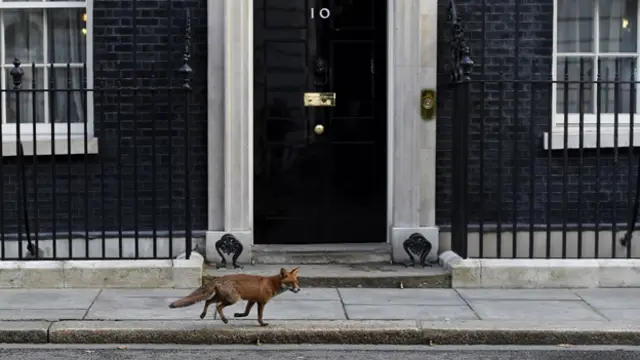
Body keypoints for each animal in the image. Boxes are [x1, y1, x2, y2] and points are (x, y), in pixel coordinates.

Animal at [169, 268, 302, 326]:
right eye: (291, 283)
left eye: (296, 282)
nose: (299, 289)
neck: (272, 284)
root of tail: (219, 278)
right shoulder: (261, 302)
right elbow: (259, 315)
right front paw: (262, 324)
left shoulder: (252, 299)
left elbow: (247, 312)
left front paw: (239, 315)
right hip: (232, 299)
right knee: (218, 307)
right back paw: (224, 320)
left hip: (221, 297)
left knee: (208, 301)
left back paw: (203, 314)